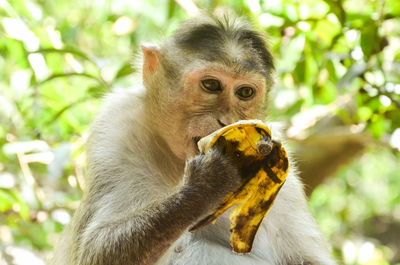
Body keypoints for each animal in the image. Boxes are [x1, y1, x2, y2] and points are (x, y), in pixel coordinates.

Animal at [50, 13, 338, 264]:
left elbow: (308, 259)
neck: (177, 163)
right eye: (211, 85)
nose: (225, 119)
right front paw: (209, 182)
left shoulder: (283, 172)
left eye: (245, 92)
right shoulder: (114, 128)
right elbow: (93, 249)